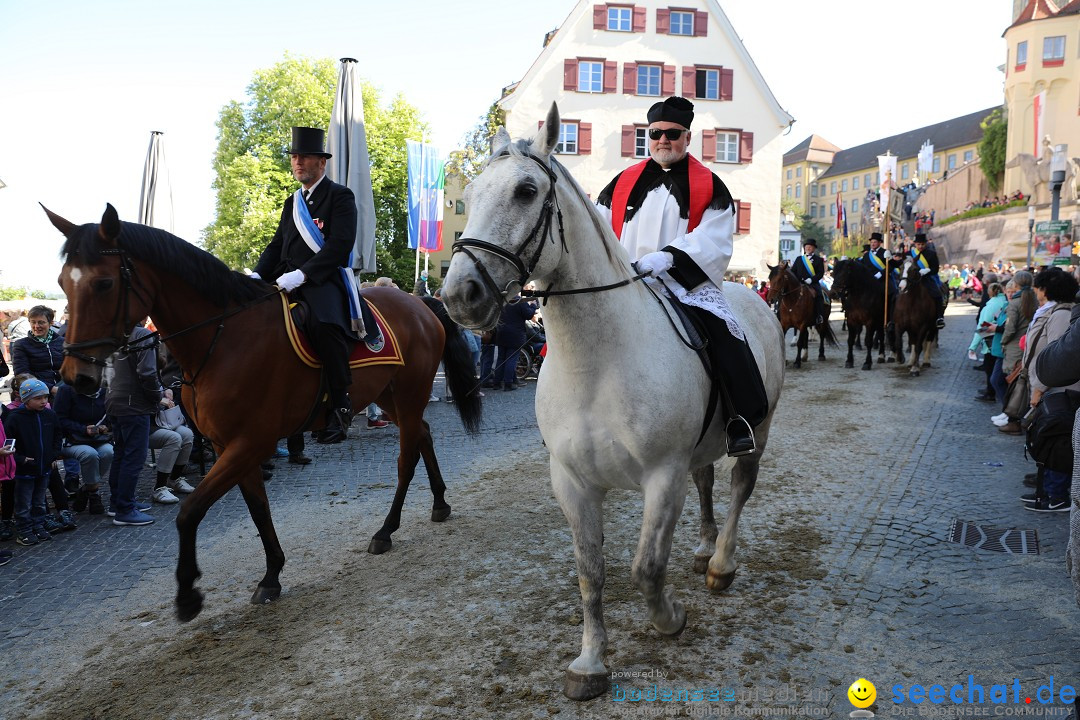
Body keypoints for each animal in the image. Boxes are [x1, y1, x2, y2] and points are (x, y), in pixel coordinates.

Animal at [46, 205, 477, 621]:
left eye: (103, 283)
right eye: (63, 283)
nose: (76, 376)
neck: (222, 340)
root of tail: (420, 303)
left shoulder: (250, 442)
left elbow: (190, 511)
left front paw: (188, 595)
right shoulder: (230, 446)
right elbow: (257, 508)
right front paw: (271, 575)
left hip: (408, 393)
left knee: (407, 457)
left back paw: (386, 530)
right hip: (389, 396)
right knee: (423, 434)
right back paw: (439, 503)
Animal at [438, 104, 786, 699]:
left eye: (526, 191)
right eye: (473, 192)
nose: (460, 296)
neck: (598, 363)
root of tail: (752, 296)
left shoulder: (661, 477)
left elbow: (645, 568)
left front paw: (669, 619)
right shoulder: (573, 482)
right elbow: (590, 572)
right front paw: (590, 662)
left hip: (756, 434)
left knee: (740, 488)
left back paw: (720, 563)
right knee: (707, 481)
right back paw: (703, 547)